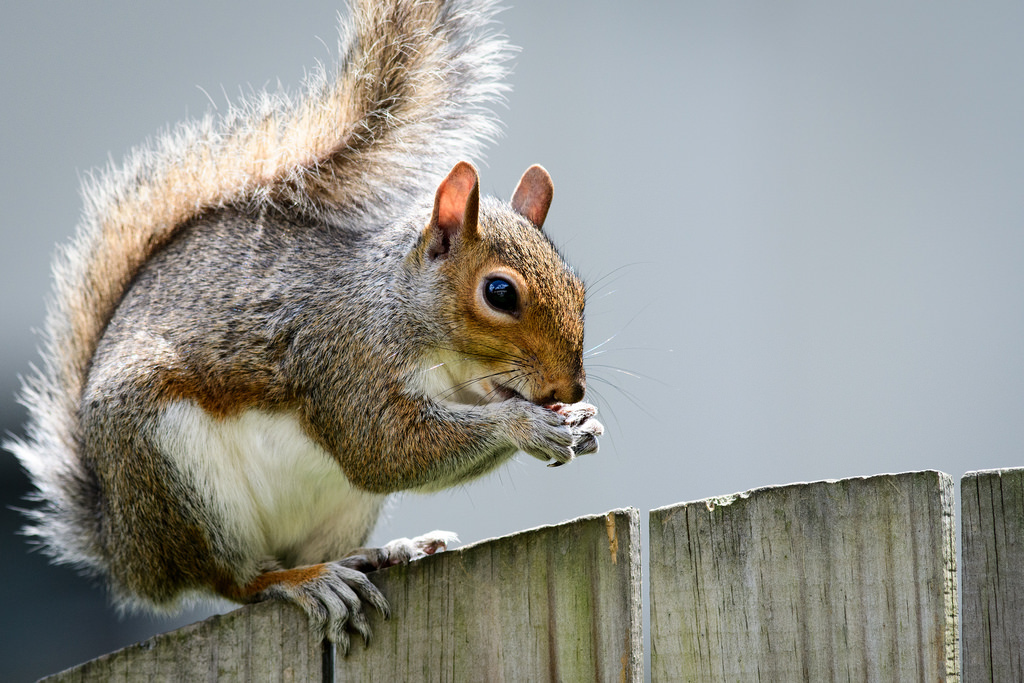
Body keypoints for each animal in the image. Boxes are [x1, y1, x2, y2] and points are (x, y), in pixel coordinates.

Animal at [6, 0, 598, 651]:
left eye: (580, 293)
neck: (402, 312)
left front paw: (582, 423)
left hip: (339, 507)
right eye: (499, 293)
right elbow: (385, 449)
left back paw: (386, 552)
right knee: (237, 581)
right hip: (176, 476)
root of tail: (125, 549)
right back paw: (306, 580)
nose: (570, 389)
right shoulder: (343, 361)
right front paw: (530, 425)